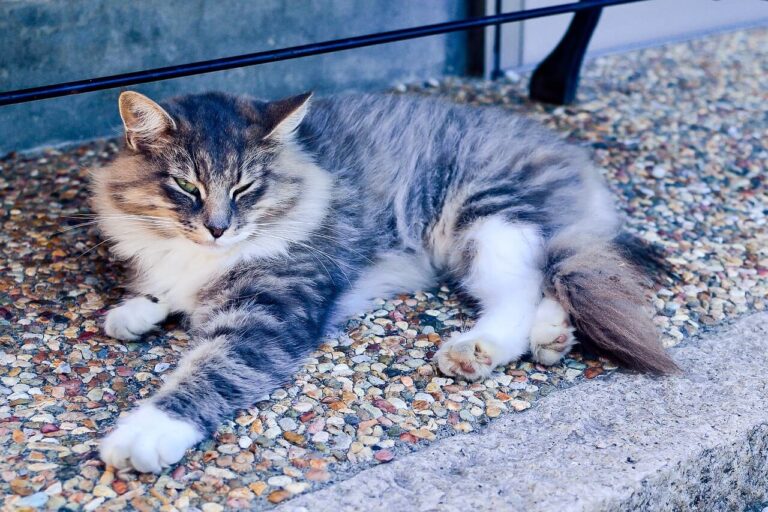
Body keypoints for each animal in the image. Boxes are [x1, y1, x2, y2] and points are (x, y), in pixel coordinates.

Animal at [93, 90, 676, 474]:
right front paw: (137, 309)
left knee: (524, 288)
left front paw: (146, 432)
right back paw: (552, 336)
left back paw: (479, 348)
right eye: (185, 185)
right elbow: (164, 287)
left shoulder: (270, 310)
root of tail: (576, 162)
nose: (217, 228)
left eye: (245, 187)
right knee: (556, 278)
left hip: (488, 219)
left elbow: (212, 372)